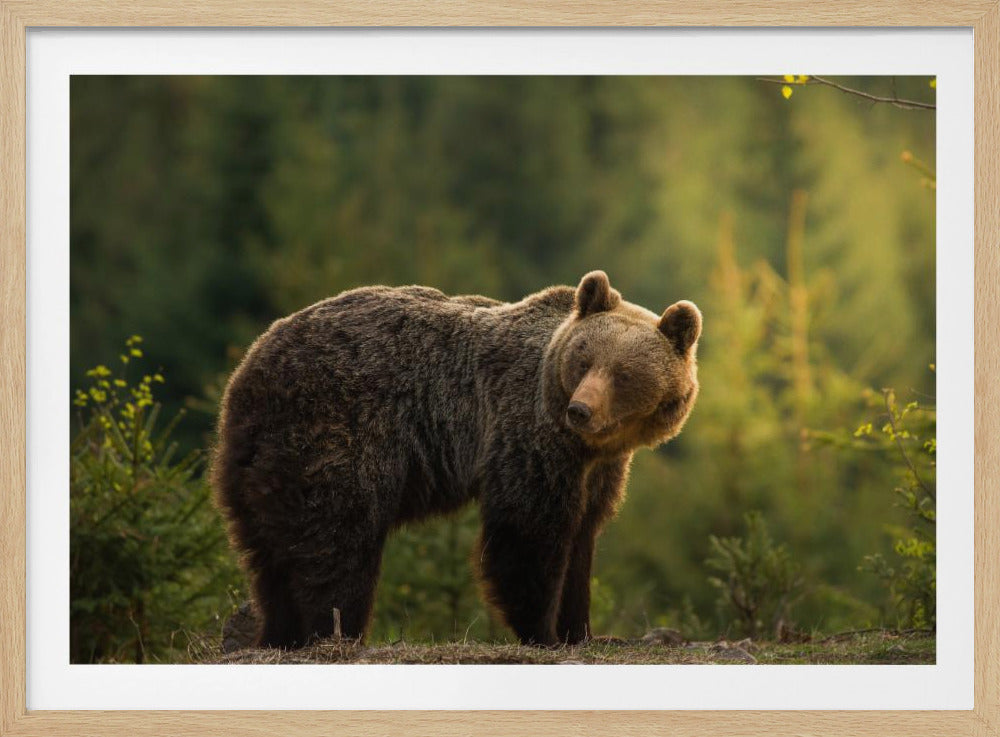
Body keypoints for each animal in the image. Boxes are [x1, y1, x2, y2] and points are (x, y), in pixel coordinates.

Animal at [211, 270, 701, 648]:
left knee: (269, 554)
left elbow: (582, 537)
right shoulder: (526, 432)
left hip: (260, 461)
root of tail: (248, 370)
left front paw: (581, 630)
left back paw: (278, 633)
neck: (589, 445)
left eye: (623, 373)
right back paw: (335, 632)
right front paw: (542, 632)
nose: (580, 409)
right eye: (583, 360)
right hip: (336, 434)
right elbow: (529, 532)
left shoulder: (598, 469)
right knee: (338, 542)